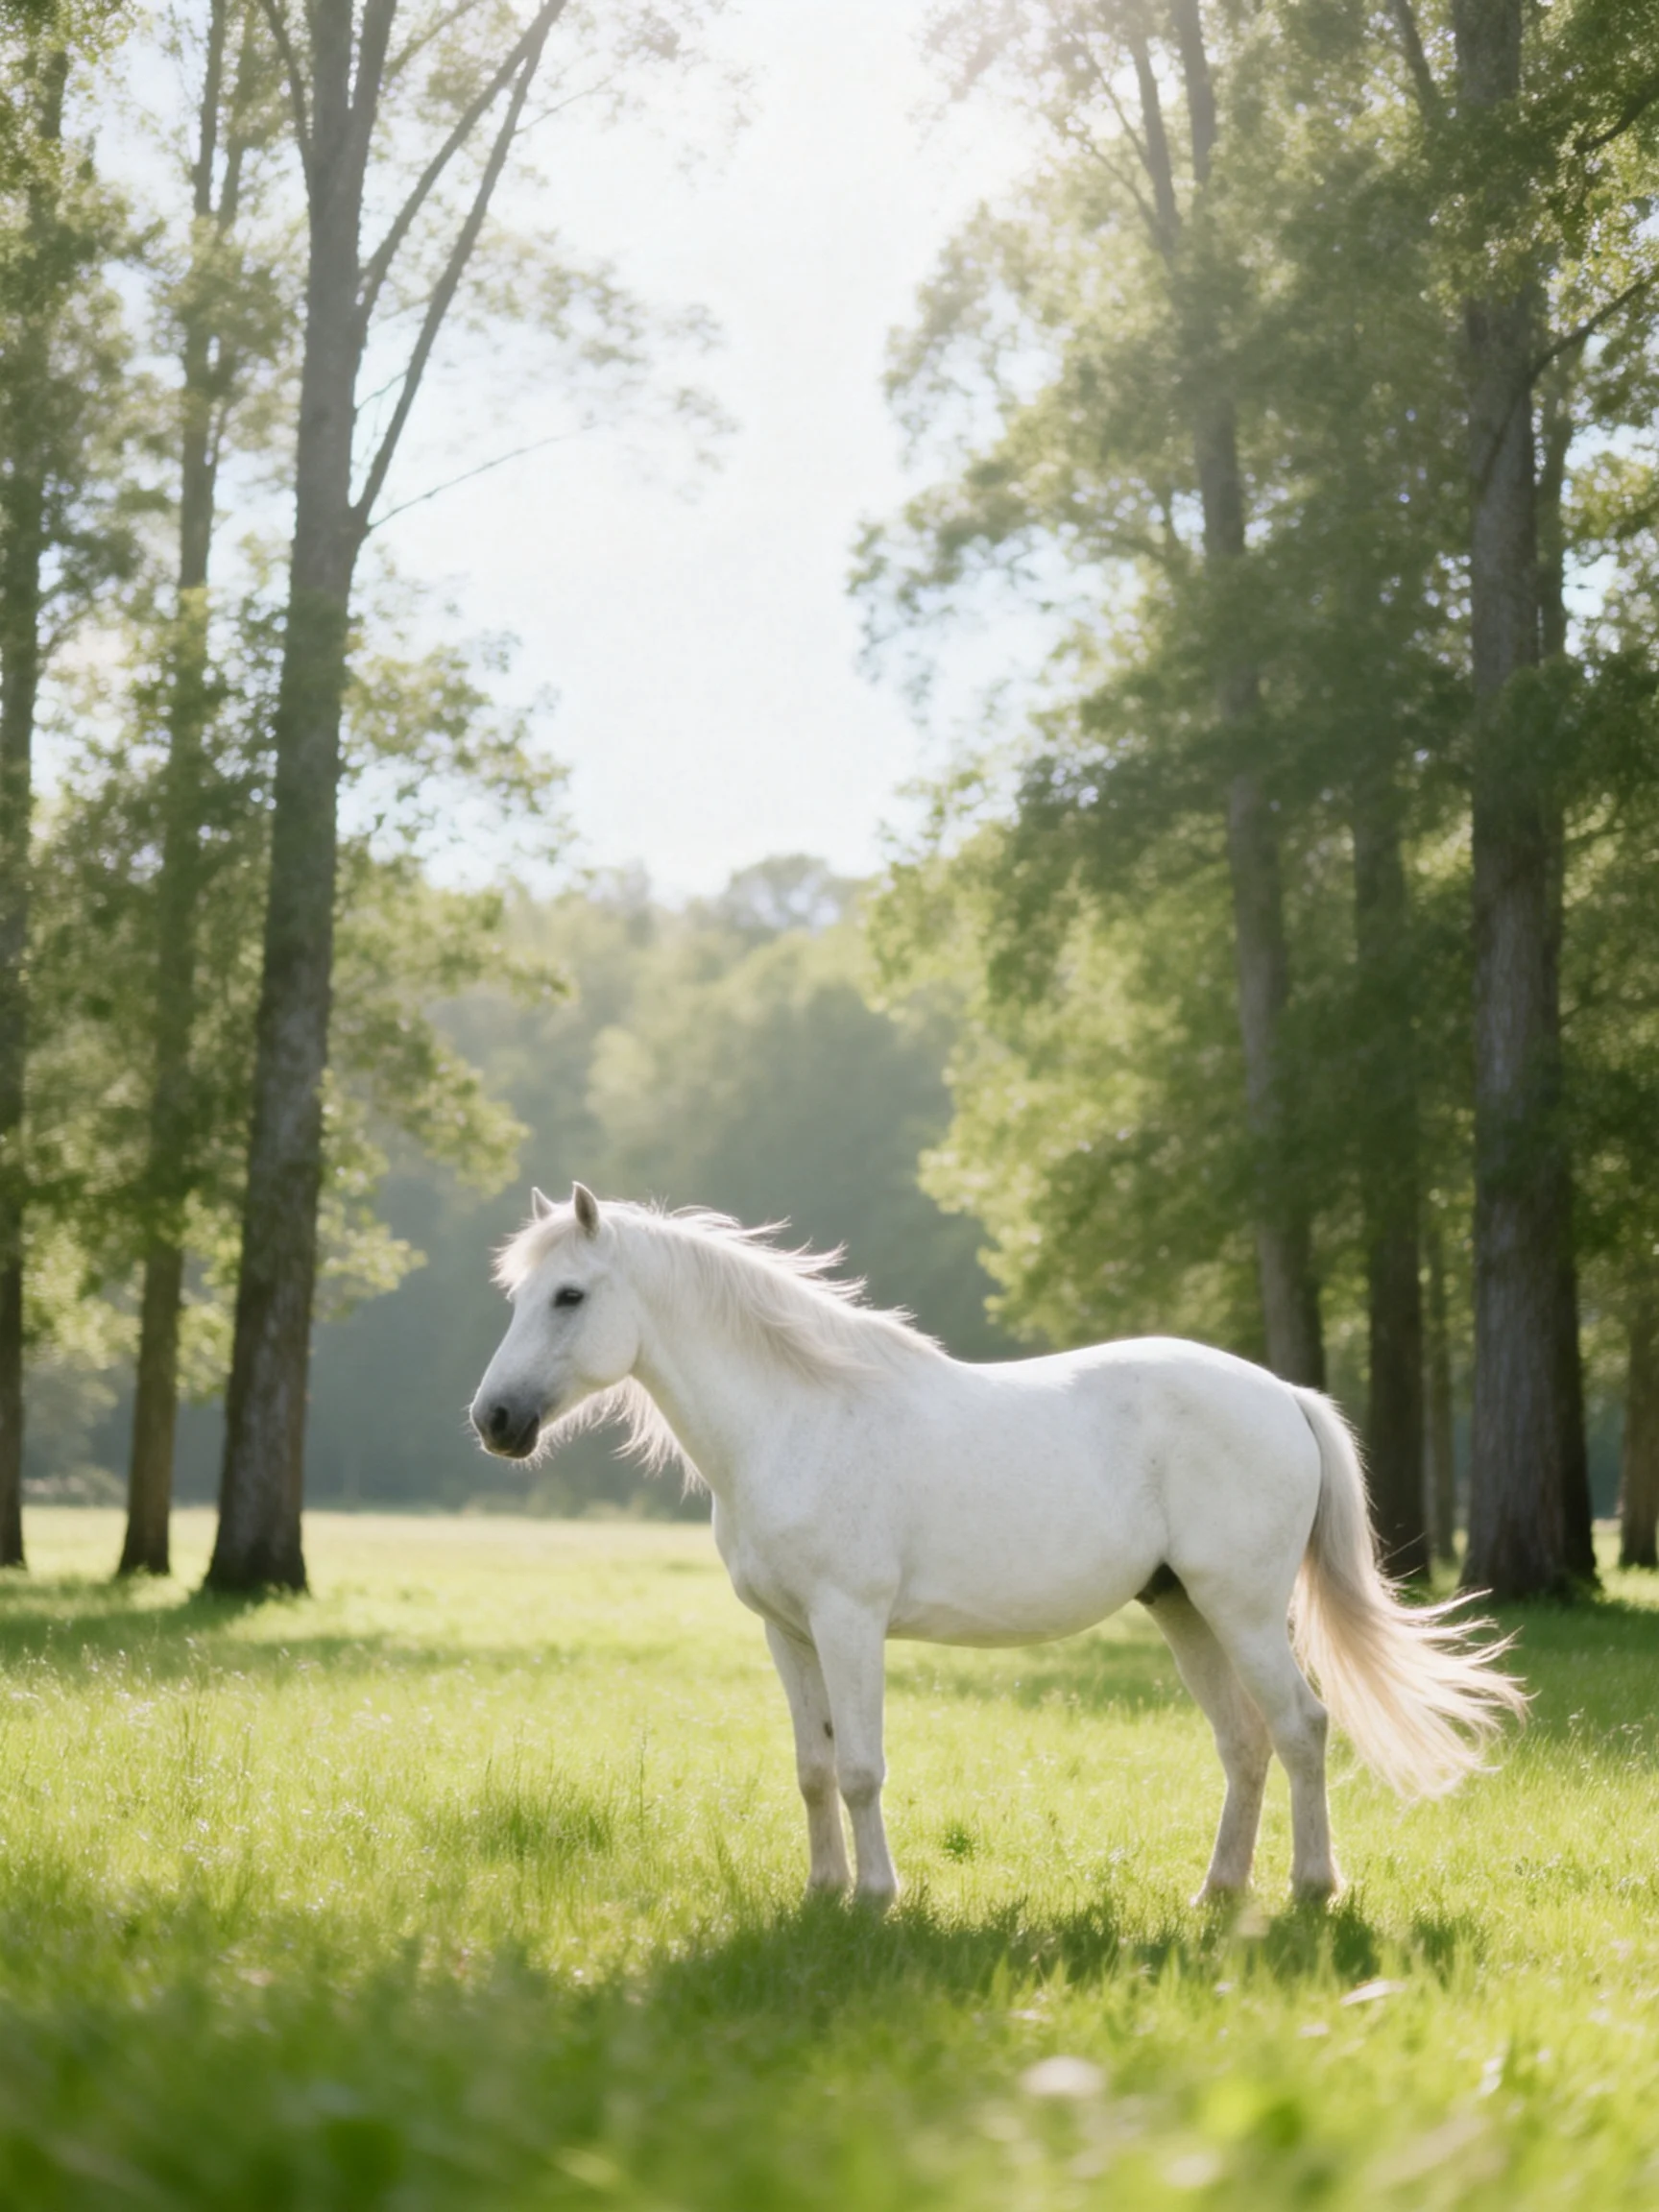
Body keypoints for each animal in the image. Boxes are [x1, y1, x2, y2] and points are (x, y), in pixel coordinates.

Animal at [470, 1184, 1524, 1906]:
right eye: (520, 1296)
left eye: (569, 1296)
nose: (494, 1420)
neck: (796, 1418)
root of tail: (1285, 1396)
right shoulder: (789, 1633)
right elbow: (813, 1770)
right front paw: (821, 1894)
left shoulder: (848, 1624)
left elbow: (860, 1768)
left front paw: (876, 1899)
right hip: (1185, 1609)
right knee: (1246, 1742)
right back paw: (1218, 1894)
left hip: (1246, 1609)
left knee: (1302, 1728)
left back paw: (1311, 1889)